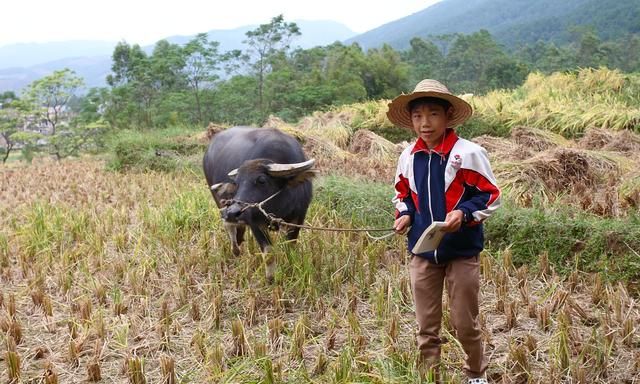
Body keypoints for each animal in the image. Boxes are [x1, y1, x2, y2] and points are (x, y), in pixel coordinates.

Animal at [202, 127, 316, 280]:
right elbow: (269, 253)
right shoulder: (255, 222)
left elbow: (290, 247)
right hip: (219, 201)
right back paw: (235, 250)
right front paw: (270, 279)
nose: (233, 212)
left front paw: (290, 270)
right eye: (236, 183)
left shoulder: (299, 216)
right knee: (229, 226)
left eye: (261, 180)